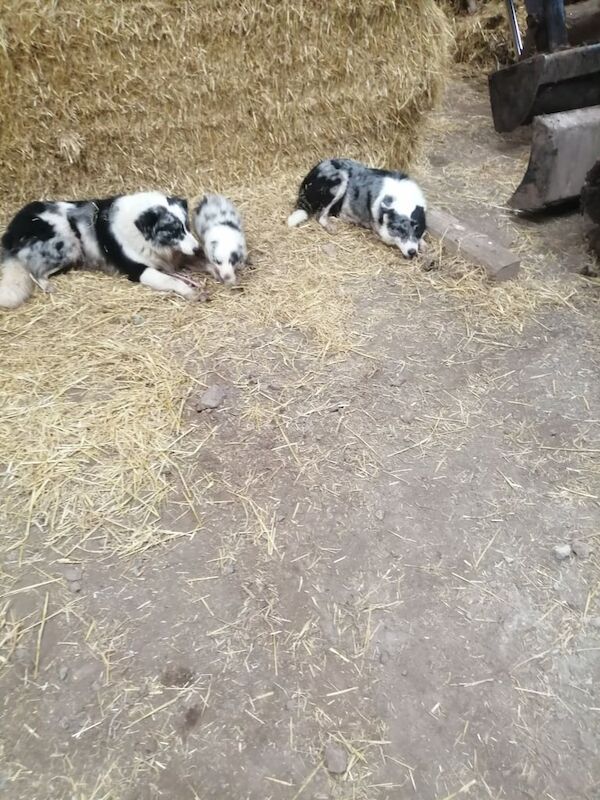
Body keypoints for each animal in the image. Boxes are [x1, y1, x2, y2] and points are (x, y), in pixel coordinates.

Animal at [0, 191, 202, 310]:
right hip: (69, 246)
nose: (198, 248)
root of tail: (11, 230)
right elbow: (171, 280)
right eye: (173, 230)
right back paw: (47, 286)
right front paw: (191, 292)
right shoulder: (138, 271)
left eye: (187, 226)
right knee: (35, 272)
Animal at [288, 155, 424, 256]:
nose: (412, 252)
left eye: (417, 229)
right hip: (339, 180)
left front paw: (423, 244)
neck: (403, 198)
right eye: (400, 230)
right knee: (321, 216)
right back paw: (332, 227)